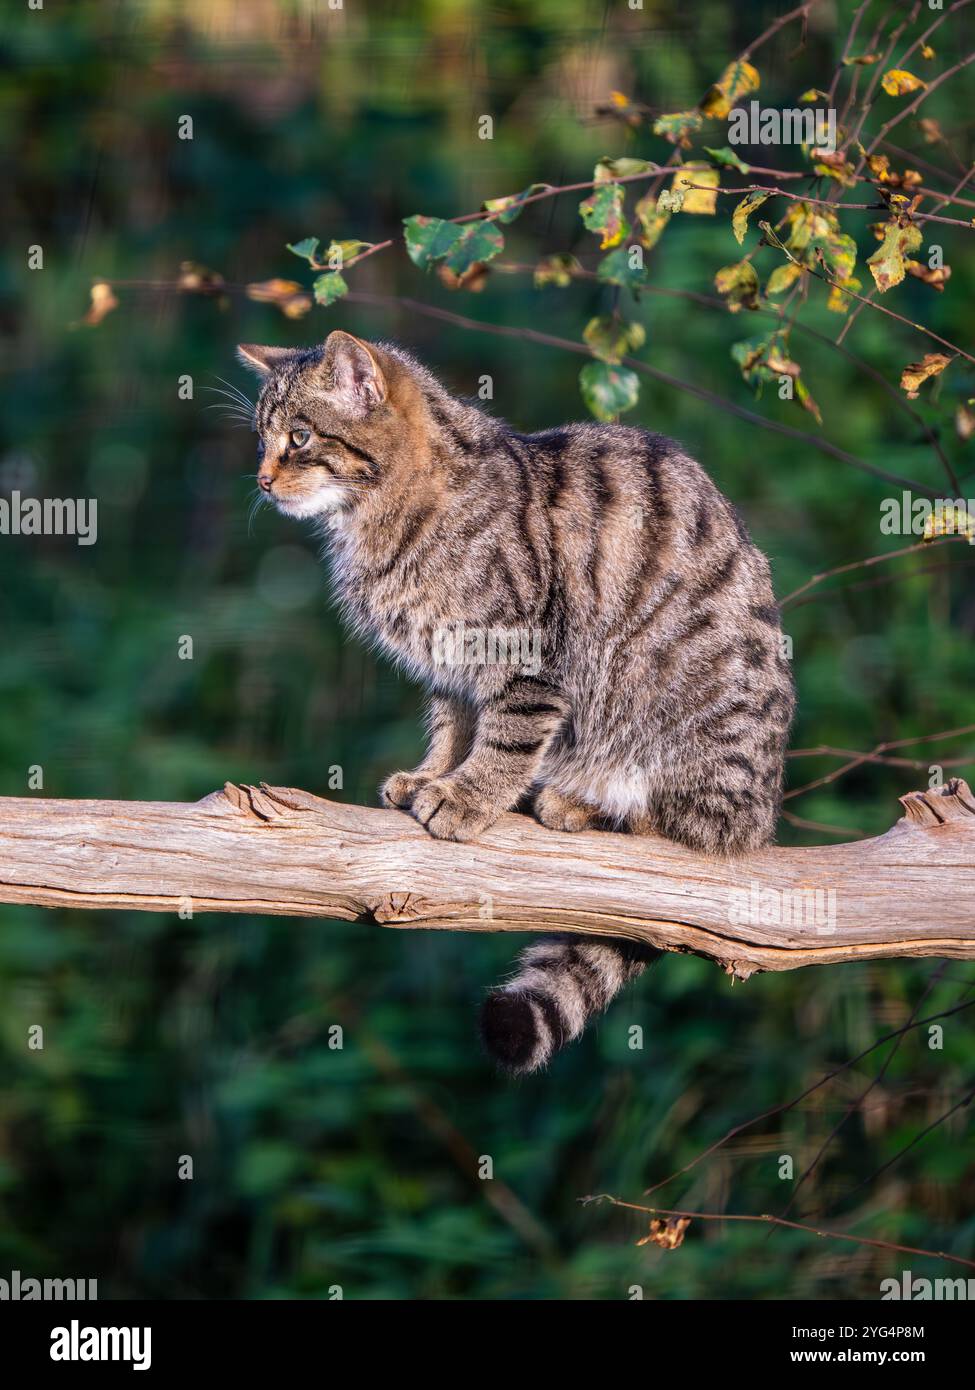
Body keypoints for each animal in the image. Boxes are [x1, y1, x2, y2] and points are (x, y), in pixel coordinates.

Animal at [239, 330, 795, 1067]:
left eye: (298, 437)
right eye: (260, 438)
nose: (262, 479)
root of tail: (767, 809)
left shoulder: (524, 656)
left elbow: (504, 739)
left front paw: (464, 797)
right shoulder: (450, 673)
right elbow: (453, 728)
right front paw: (431, 775)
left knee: (697, 827)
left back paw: (583, 803)